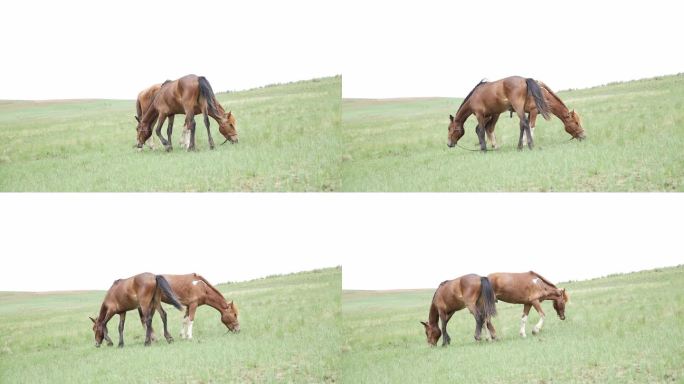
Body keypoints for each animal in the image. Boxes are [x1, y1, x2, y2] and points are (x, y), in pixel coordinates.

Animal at [448, 76, 588, 151]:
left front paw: (522, 144)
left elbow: (524, 126)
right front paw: (527, 143)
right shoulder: (533, 111)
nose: (583, 136)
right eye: (576, 122)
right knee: (485, 128)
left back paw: (494, 146)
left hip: (492, 114)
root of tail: (525, 80)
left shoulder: (528, 112)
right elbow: (530, 126)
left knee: (486, 128)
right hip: (492, 114)